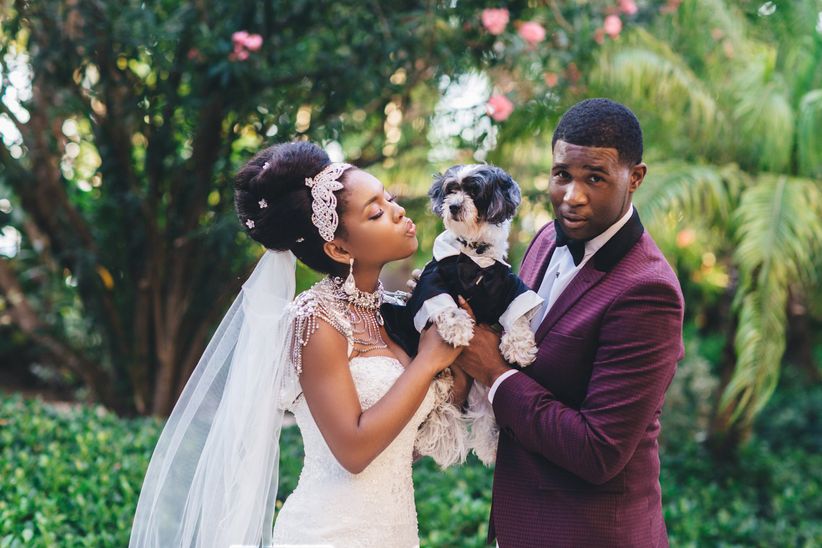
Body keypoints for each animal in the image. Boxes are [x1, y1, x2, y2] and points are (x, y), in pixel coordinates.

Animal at [382, 164, 548, 466]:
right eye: (451, 190)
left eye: (474, 191)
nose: (455, 206)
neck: (475, 254)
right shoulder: (432, 279)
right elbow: (443, 304)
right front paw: (458, 328)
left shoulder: (510, 285)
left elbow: (517, 314)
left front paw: (519, 348)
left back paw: (492, 447)